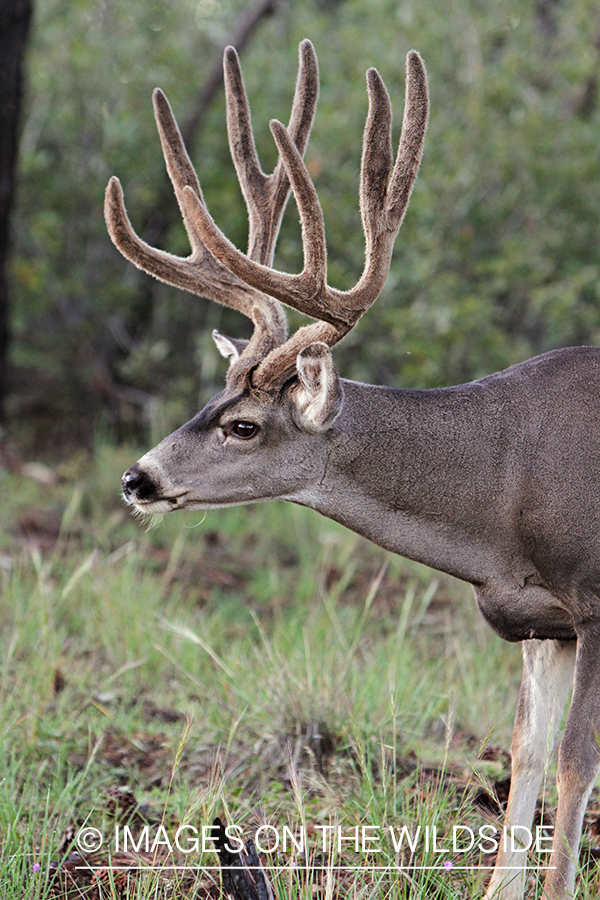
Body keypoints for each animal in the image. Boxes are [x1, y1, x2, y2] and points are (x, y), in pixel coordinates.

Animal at [105, 39, 600, 900]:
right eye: (212, 397)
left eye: (243, 425)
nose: (139, 478)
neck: (504, 496)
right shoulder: (544, 622)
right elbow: (526, 760)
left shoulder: (598, 599)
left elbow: (575, 767)